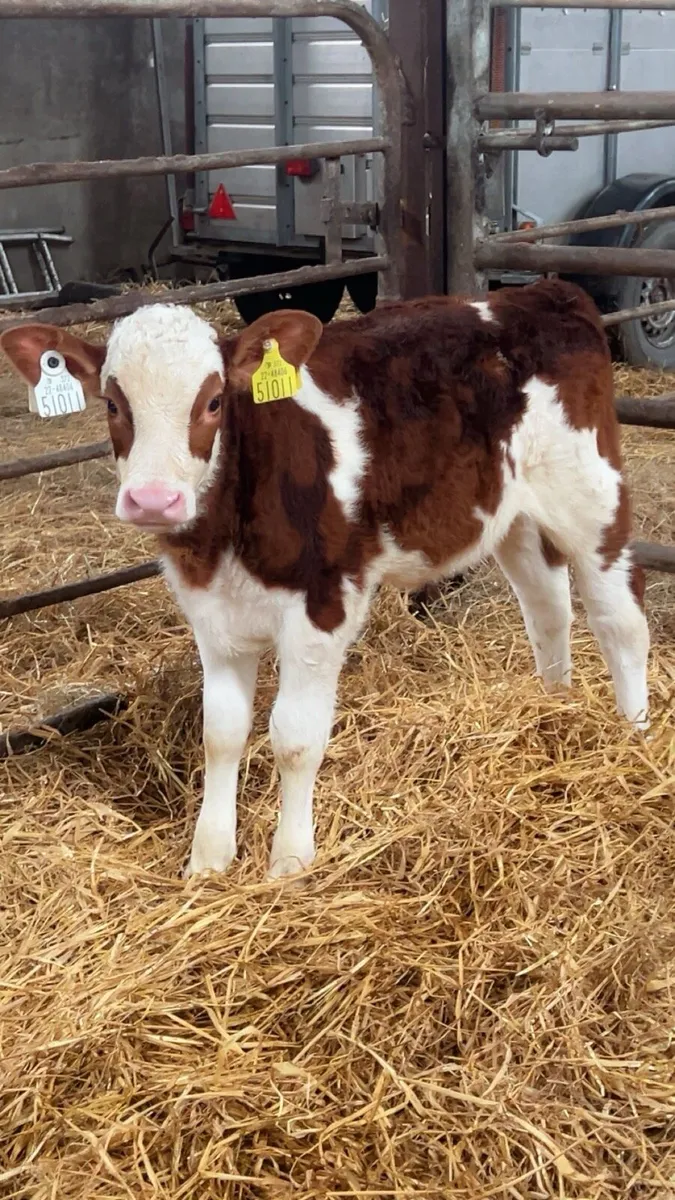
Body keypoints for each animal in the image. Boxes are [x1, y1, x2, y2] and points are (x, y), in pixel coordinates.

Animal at [1, 280, 650, 880]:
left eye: (213, 402)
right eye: (112, 404)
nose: (154, 500)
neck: (224, 537)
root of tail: (542, 292)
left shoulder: (322, 605)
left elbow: (293, 736)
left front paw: (289, 863)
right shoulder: (211, 615)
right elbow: (221, 733)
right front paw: (208, 862)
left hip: (592, 493)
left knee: (620, 621)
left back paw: (633, 736)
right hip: (513, 514)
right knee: (548, 608)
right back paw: (555, 706)